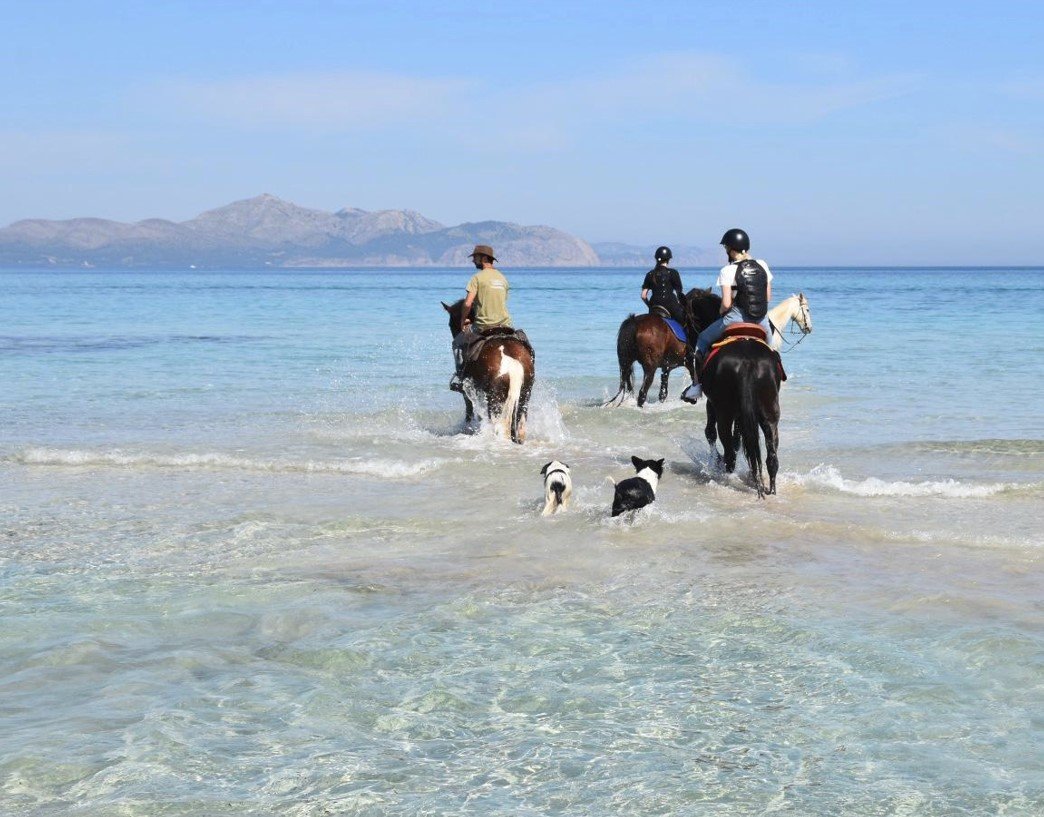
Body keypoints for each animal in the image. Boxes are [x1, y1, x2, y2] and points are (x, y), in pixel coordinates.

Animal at [441, 300, 535, 444]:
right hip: (524, 396)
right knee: (520, 426)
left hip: (495, 401)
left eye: (451, 323)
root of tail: (513, 365)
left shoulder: (468, 391)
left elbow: (470, 411)